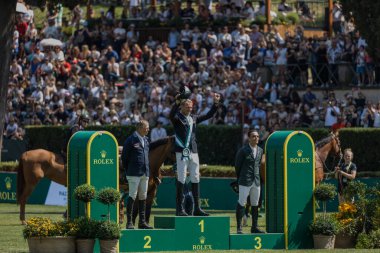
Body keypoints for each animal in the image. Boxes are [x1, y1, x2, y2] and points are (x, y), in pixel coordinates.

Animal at [17, 135, 175, 224]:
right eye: (175, 147)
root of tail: (25, 153)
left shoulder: (148, 191)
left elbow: (139, 207)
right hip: (31, 183)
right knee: (23, 199)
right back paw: (23, 220)